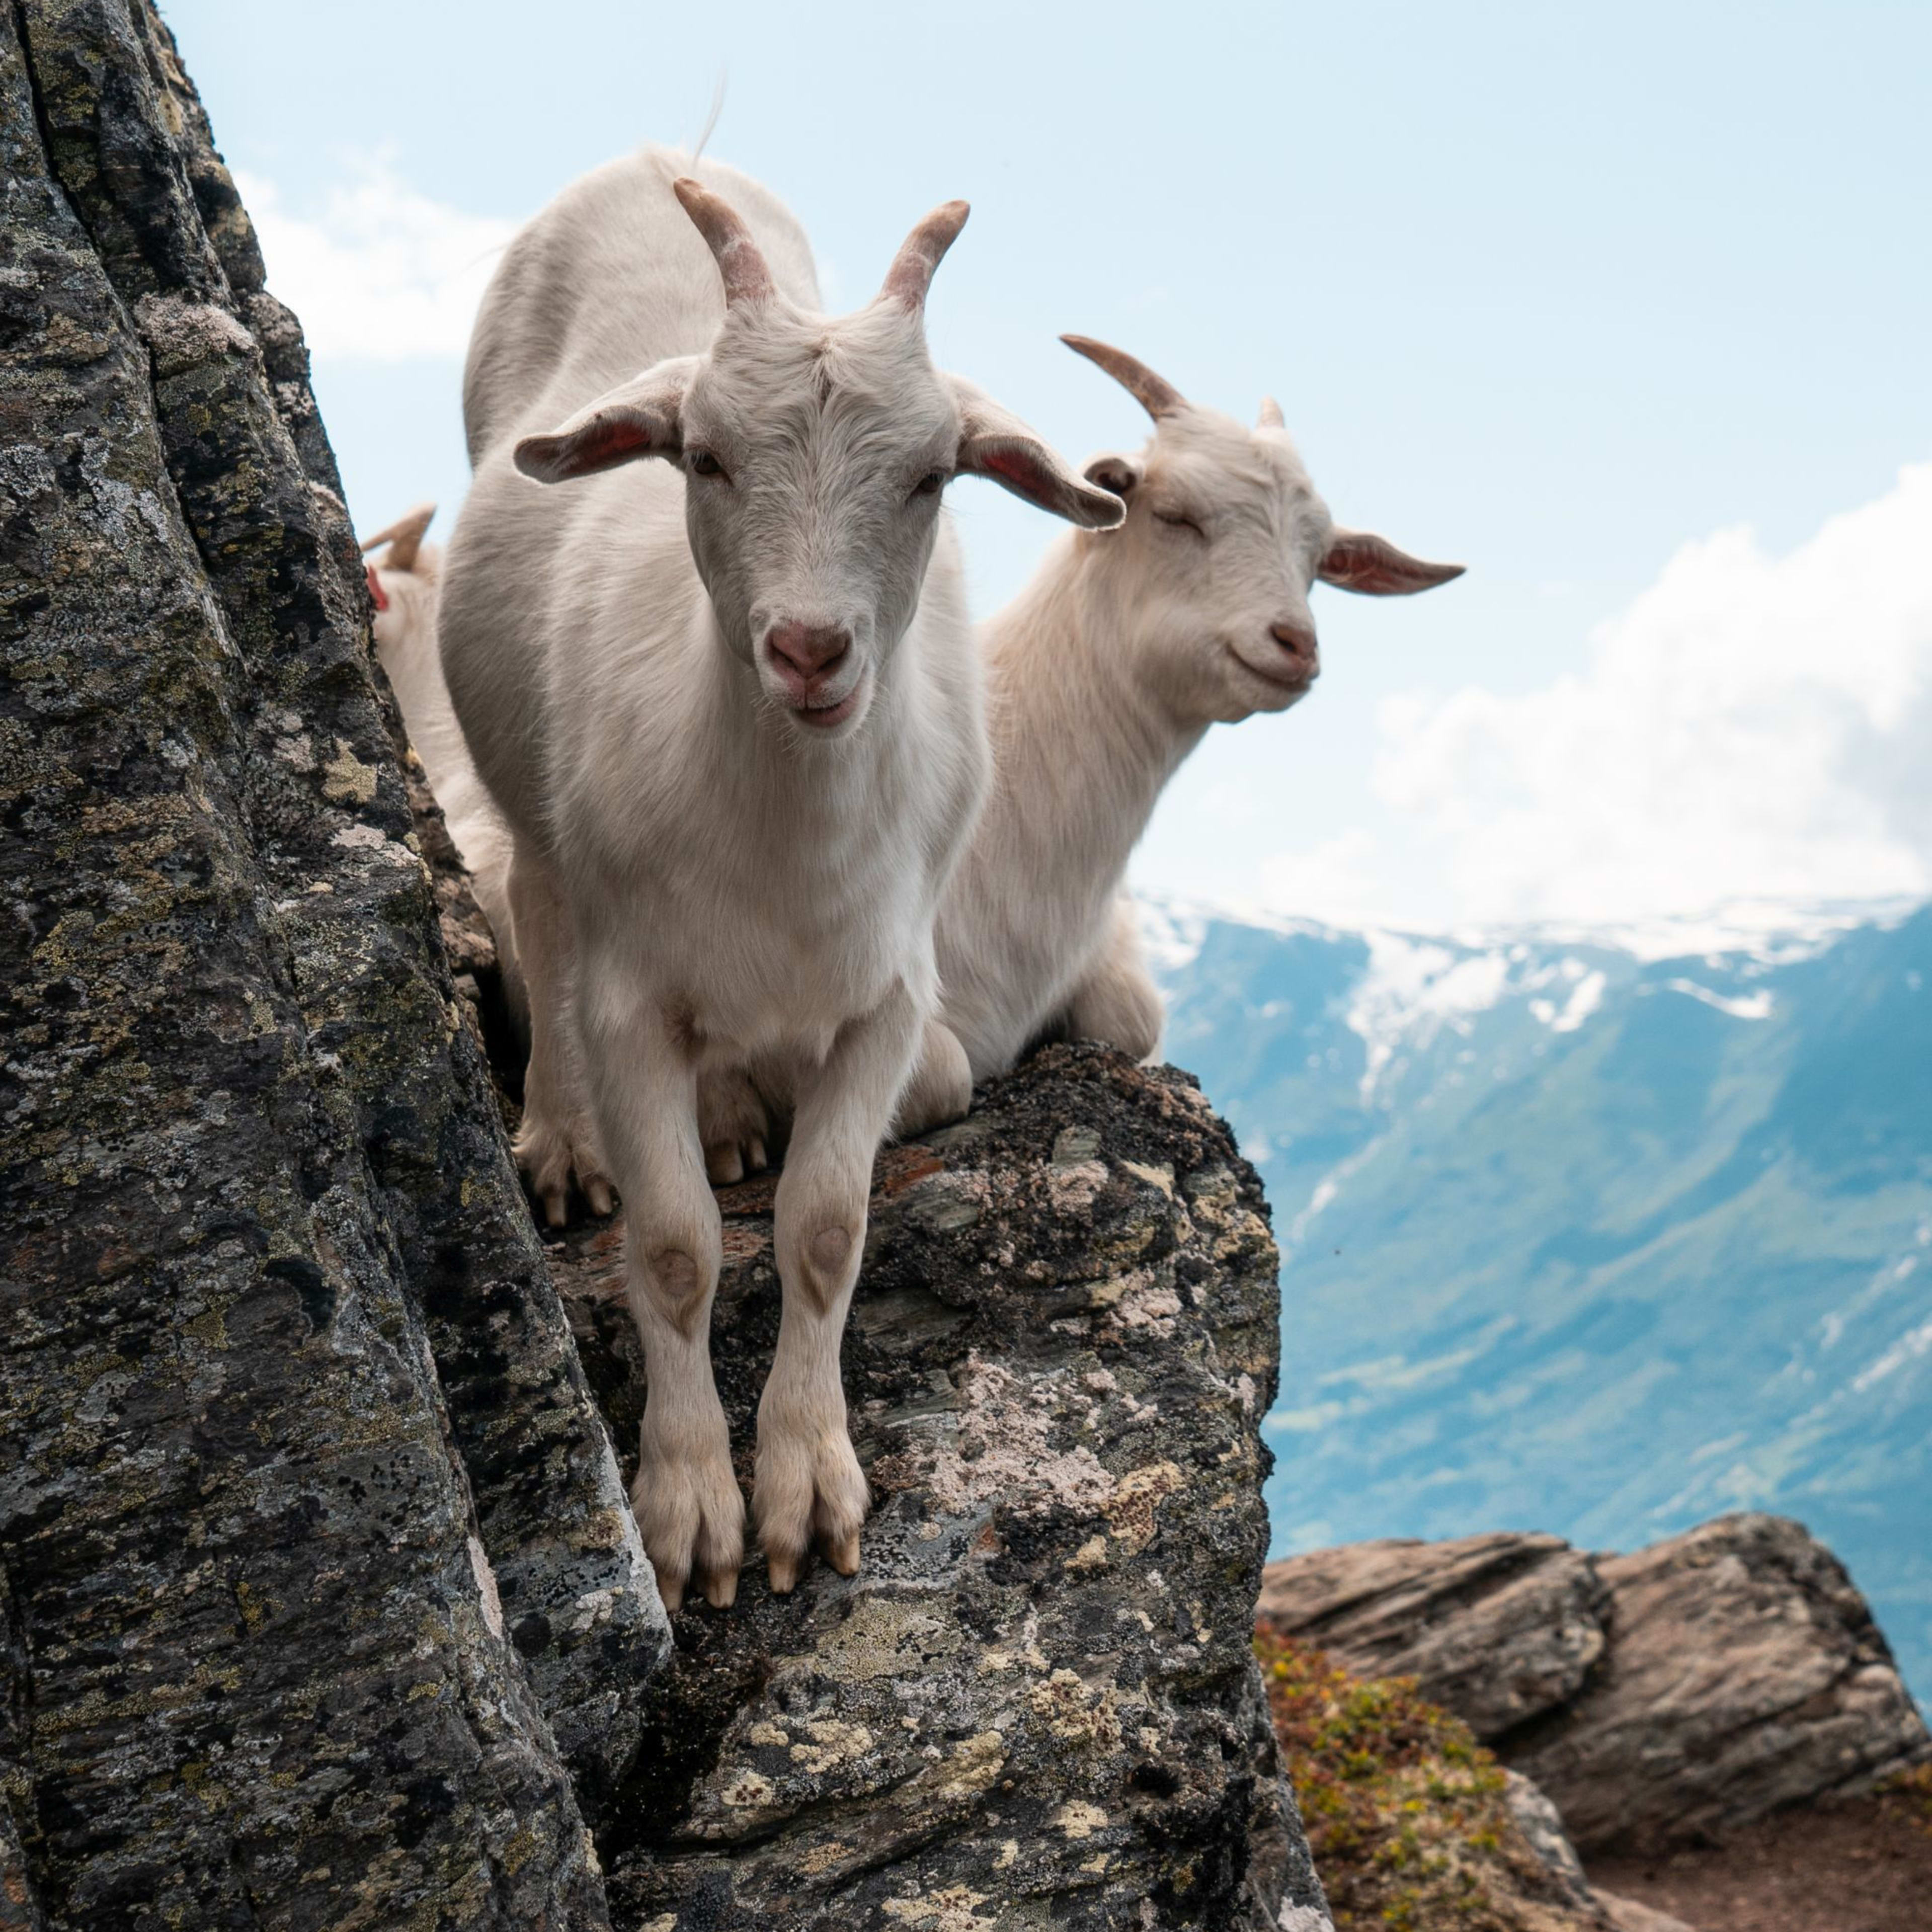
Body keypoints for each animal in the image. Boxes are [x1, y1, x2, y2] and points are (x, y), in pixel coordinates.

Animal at [437, 149, 1122, 1610]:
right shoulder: (632, 1001)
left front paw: (808, 1489)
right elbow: (676, 1245)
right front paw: (693, 1505)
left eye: (932, 475)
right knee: (538, 904)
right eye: (703, 456)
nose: (810, 650)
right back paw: (562, 1141)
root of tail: (656, 157)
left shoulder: (887, 999)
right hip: (534, 802)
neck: (780, 834)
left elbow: (821, 1226)